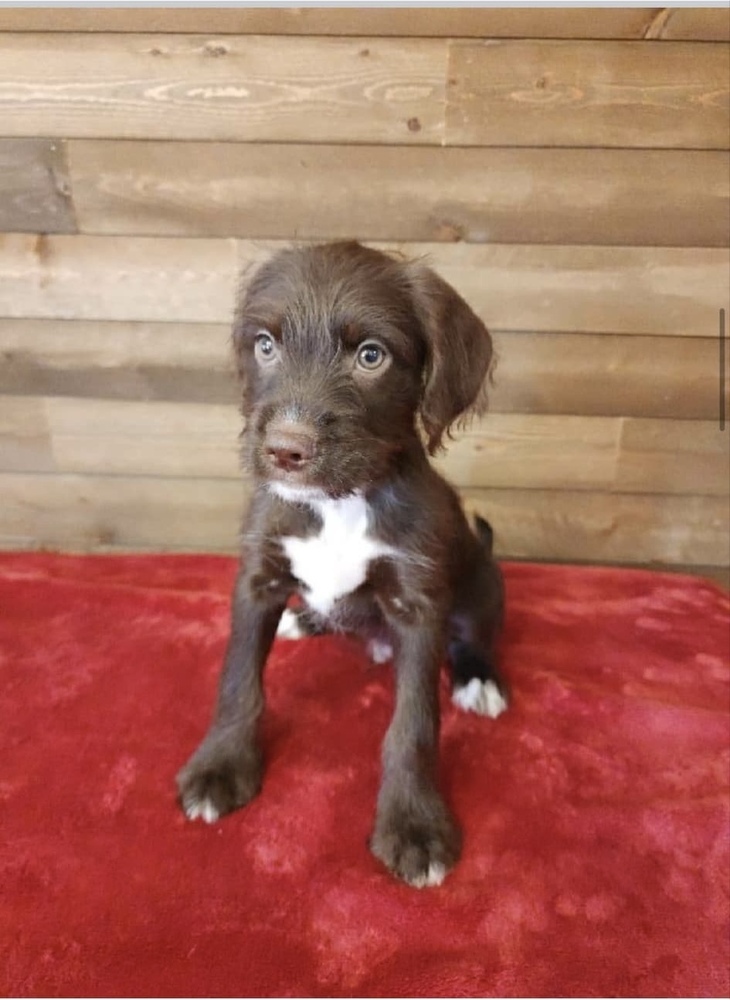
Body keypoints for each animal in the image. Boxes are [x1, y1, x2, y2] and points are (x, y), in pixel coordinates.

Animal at [177, 242, 506, 892]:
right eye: (265, 345)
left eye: (371, 355)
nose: (285, 450)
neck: (338, 500)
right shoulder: (257, 577)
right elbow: (237, 680)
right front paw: (221, 764)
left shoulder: (418, 604)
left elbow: (414, 723)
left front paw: (413, 823)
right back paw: (306, 620)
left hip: (484, 582)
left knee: (472, 634)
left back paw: (478, 679)